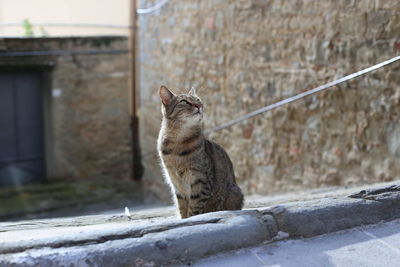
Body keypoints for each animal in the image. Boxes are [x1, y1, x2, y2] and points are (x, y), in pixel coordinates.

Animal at [157, 85, 244, 219]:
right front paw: (183, 219)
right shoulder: (175, 182)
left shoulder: (200, 180)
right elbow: (182, 207)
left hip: (234, 194)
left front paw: (190, 218)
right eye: (184, 101)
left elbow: (194, 207)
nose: (199, 106)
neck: (177, 142)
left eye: (198, 100)